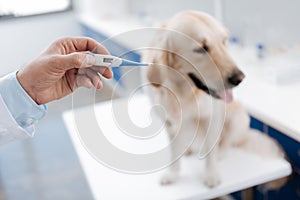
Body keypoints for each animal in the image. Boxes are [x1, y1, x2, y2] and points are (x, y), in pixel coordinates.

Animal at [143, 10, 286, 189]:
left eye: (224, 41)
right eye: (200, 49)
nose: (239, 78)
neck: (185, 93)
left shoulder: (212, 118)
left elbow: (211, 153)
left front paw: (211, 176)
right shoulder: (169, 123)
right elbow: (174, 154)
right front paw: (172, 174)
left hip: (238, 117)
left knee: (227, 142)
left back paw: (221, 152)